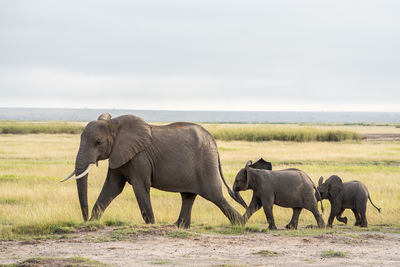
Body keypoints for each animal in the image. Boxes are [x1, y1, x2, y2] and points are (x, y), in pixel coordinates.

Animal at [61, 113, 247, 228]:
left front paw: (150, 224)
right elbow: (112, 187)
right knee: (188, 196)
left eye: (98, 142)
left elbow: (140, 186)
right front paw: (93, 222)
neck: (114, 124)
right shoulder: (119, 154)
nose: (84, 219)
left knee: (214, 195)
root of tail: (214, 143)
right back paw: (178, 226)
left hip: (206, 163)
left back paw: (240, 223)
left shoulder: (139, 157)